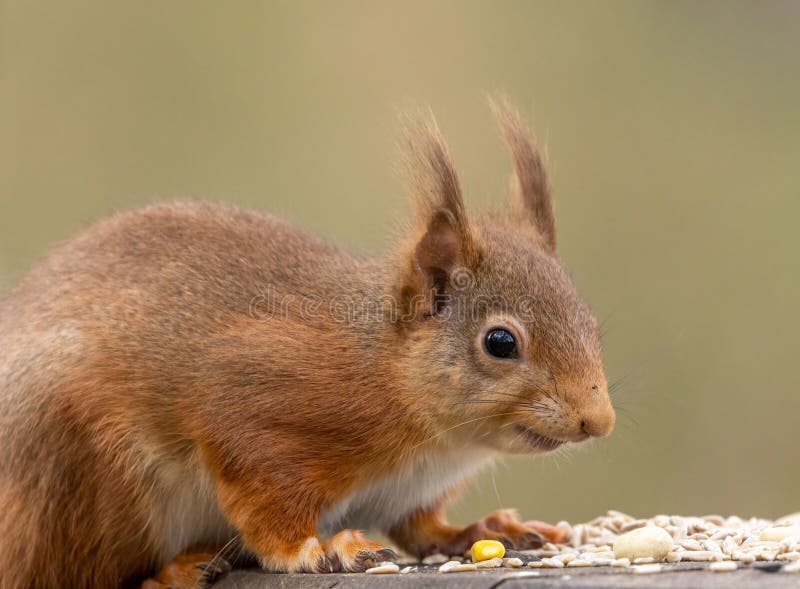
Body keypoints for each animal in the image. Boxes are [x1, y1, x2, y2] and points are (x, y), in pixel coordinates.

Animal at [0, 99, 616, 584]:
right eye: (500, 342)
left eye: (589, 322)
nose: (599, 421)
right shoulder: (257, 403)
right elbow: (266, 498)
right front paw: (313, 549)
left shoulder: (410, 491)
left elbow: (422, 527)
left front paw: (482, 529)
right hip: (83, 469)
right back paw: (175, 570)